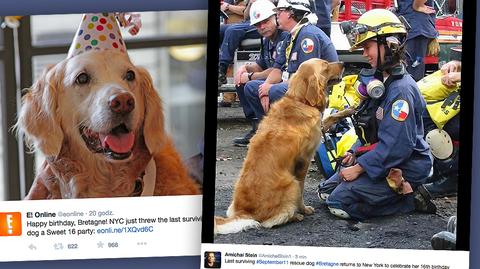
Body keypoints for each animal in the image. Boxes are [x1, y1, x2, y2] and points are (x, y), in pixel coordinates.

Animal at [216, 58, 344, 232]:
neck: (300, 100)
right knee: (271, 221)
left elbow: (331, 117)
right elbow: (302, 191)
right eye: (325, 66)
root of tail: (244, 212)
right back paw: (295, 215)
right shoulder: (303, 162)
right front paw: (304, 209)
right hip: (291, 183)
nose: (343, 63)